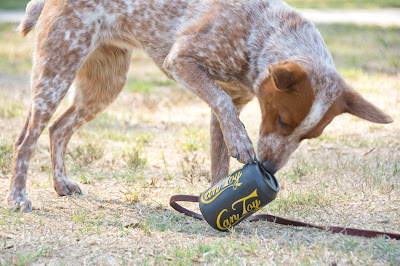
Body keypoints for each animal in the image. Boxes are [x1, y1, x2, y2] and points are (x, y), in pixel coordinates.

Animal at [7, 0, 392, 212]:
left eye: (307, 137)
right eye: (282, 120)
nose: (268, 167)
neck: (259, 32)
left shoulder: (229, 103)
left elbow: (220, 161)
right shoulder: (183, 61)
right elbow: (224, 109)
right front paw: (243, 145)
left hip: (105, 86)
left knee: (59, 128)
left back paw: (60, 183)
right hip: (57, 71)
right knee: (25, 140)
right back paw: (17, 197)